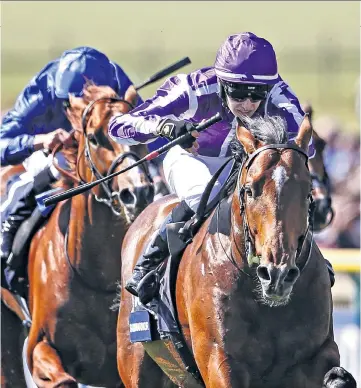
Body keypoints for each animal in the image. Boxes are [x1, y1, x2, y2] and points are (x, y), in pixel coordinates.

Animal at [20, 83, 153, 386]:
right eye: (93, 138)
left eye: (140, 134)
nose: (138, 192)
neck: (94, 274)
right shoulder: (38, 345)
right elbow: (62, 378)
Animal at [116, 115, 354, 388]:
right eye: (249, 190)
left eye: (307, 192)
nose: (278, 275)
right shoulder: (220, 361)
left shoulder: (316, 353)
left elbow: (332, 372)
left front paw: (339, 377)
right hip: (136, 362)